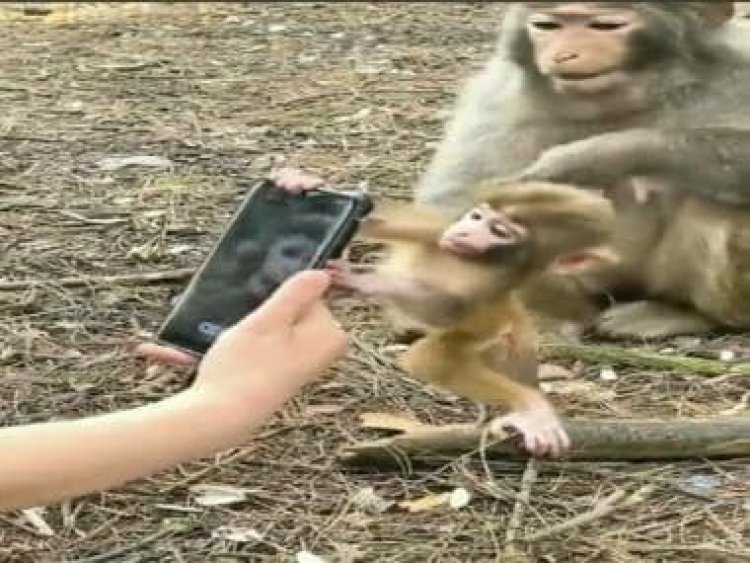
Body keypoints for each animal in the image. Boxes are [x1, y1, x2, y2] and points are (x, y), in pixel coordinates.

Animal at [324, 181, 619, 458]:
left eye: (498, 231)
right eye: (476, 217)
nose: (464, 230)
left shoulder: (495, 279)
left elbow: (447, 310)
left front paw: (367, 282)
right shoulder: (438, 228)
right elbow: (377, 222)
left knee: (441, 354)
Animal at [413, 2, 750, 340]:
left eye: (605, 25)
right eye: (547, 25)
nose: (564, 55)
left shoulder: (734, 72)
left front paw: (595, 157)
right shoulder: (495, 98)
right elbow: (452, 197)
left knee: (712, 203)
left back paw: (684, 313)